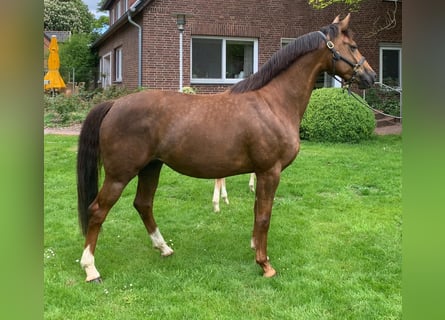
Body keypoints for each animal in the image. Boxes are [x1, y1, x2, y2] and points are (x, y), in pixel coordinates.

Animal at [76, 13, 374, 282]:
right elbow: (264, 216)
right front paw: (264, 264)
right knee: (98, 210)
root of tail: (114, 104)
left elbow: (257, 212)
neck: (273, 103)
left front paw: (256, 248)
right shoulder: (270, 172)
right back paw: (91, 269)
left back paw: (164, 248)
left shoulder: (261, 173)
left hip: (151, 167)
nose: (370, 76)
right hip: (120, 174)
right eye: (353, 46)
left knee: (143, 204)